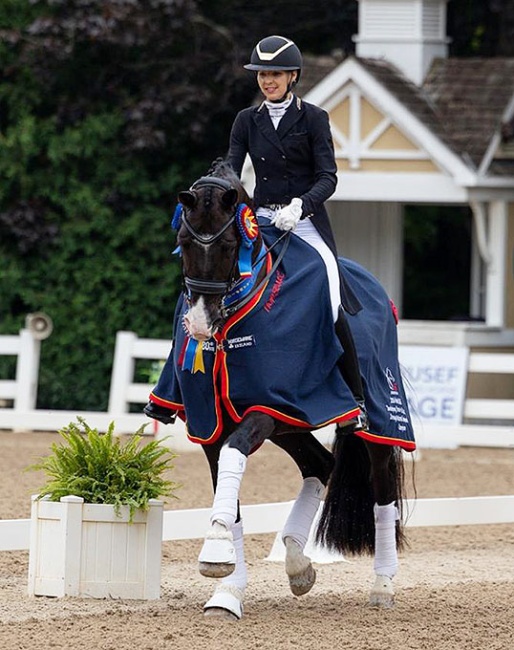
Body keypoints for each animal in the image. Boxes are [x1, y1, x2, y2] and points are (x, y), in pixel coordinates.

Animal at [144, 159, 416, 620]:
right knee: (321, 465)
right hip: (292, 423)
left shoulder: (268, 406)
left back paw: (382, 585)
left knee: (382, 494)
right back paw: (296, 561)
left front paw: (215, 552)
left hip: (370, 419)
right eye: (183, 241)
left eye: (229, 243)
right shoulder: (212, 420)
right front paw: (226, 591)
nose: (198, 325)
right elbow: (228, 484)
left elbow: (235, 455)